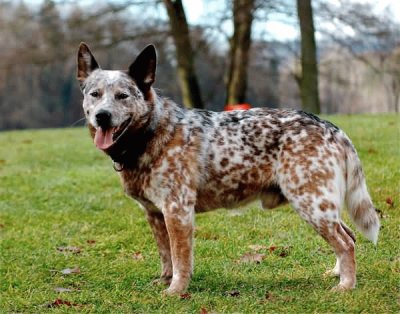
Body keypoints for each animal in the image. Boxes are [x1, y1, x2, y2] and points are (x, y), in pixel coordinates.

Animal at [76, 43, 380, 296]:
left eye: (122, 96)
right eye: (95, 94)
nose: (102, 116)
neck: (153, 132)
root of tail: (332, 128)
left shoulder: (177, 211)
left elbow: (180, 258)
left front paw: (176, 290)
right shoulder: (154, 213)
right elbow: (166, 256)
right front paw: (164, 281)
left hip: (311, 202)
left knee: (346, 242)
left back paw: (346, 285)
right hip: (321, 203)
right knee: (349, 236)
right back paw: (338, 273)